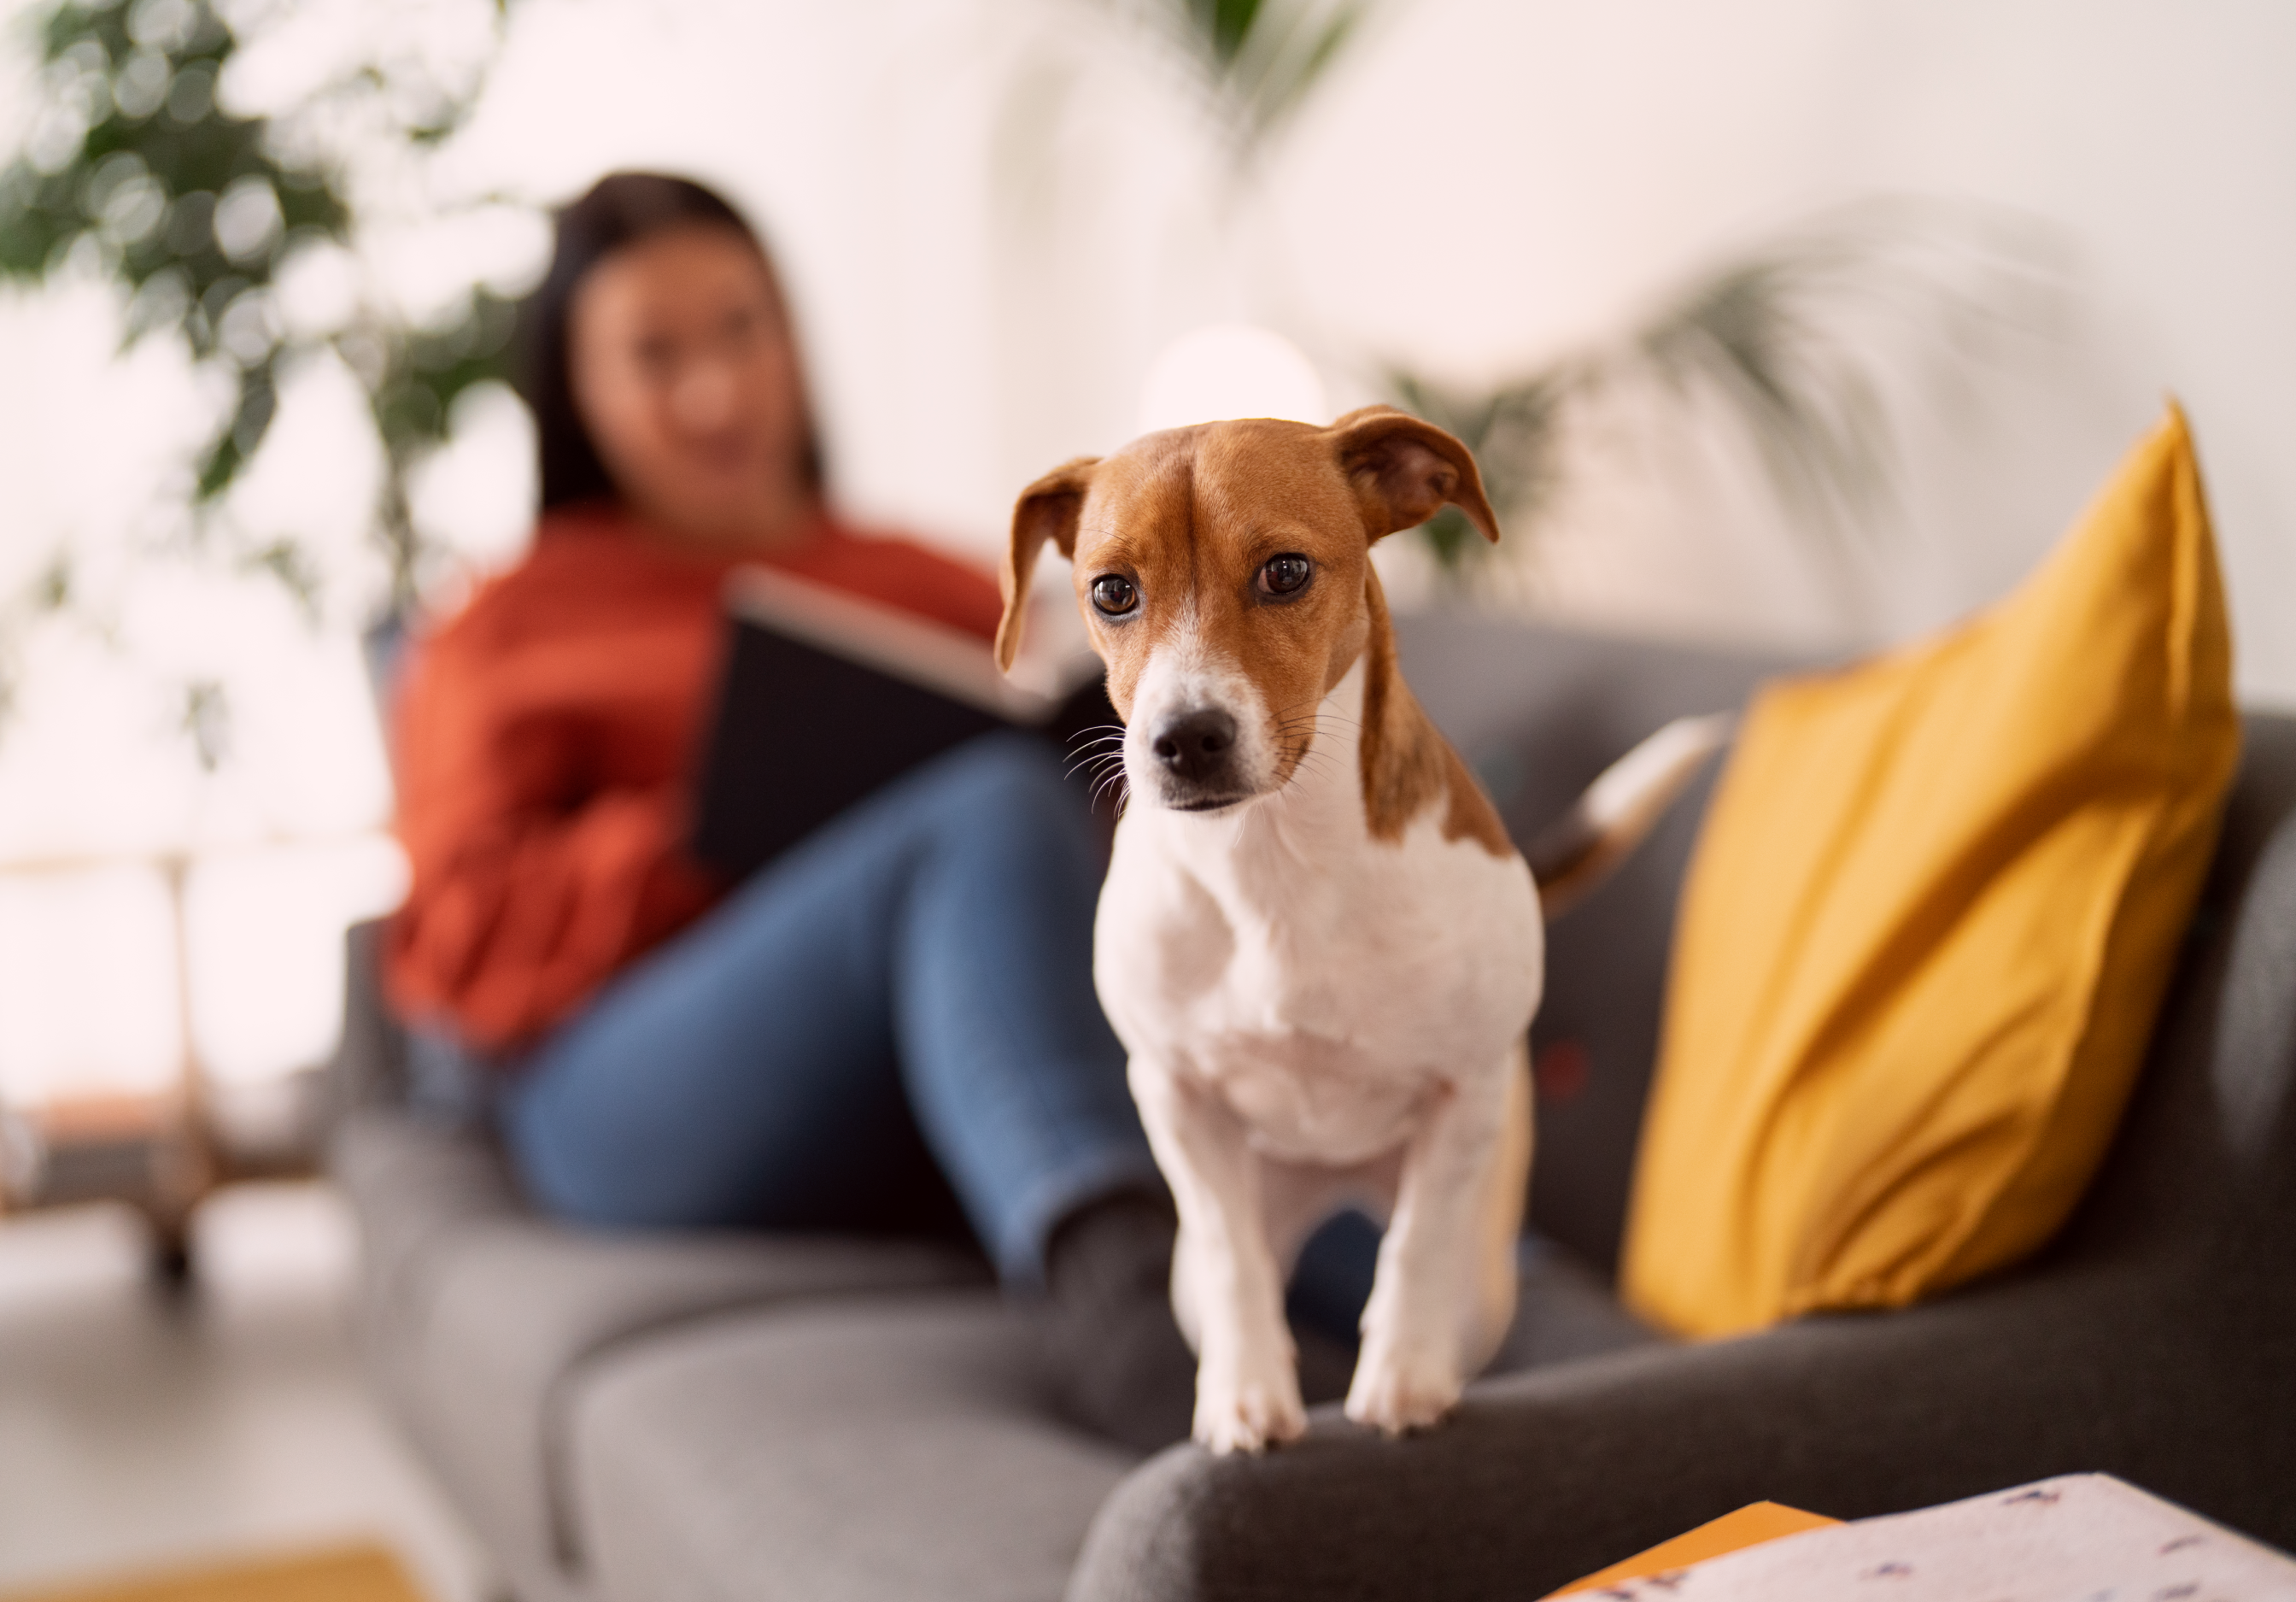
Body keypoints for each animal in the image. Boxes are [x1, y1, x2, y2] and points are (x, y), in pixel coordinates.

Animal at [996, 408, 1717, 1450]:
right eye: (1112, 591)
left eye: (1286, 572)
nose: (1185, 738)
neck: (1275, 863)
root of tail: (1334, 1182)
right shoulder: (1176, 1100)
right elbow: (1234, 1260)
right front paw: (1247, 1393)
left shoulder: (1462, 1098)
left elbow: (1415, 1248)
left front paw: (1402, 1378)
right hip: (1203, 1257)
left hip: (1487, 1268)